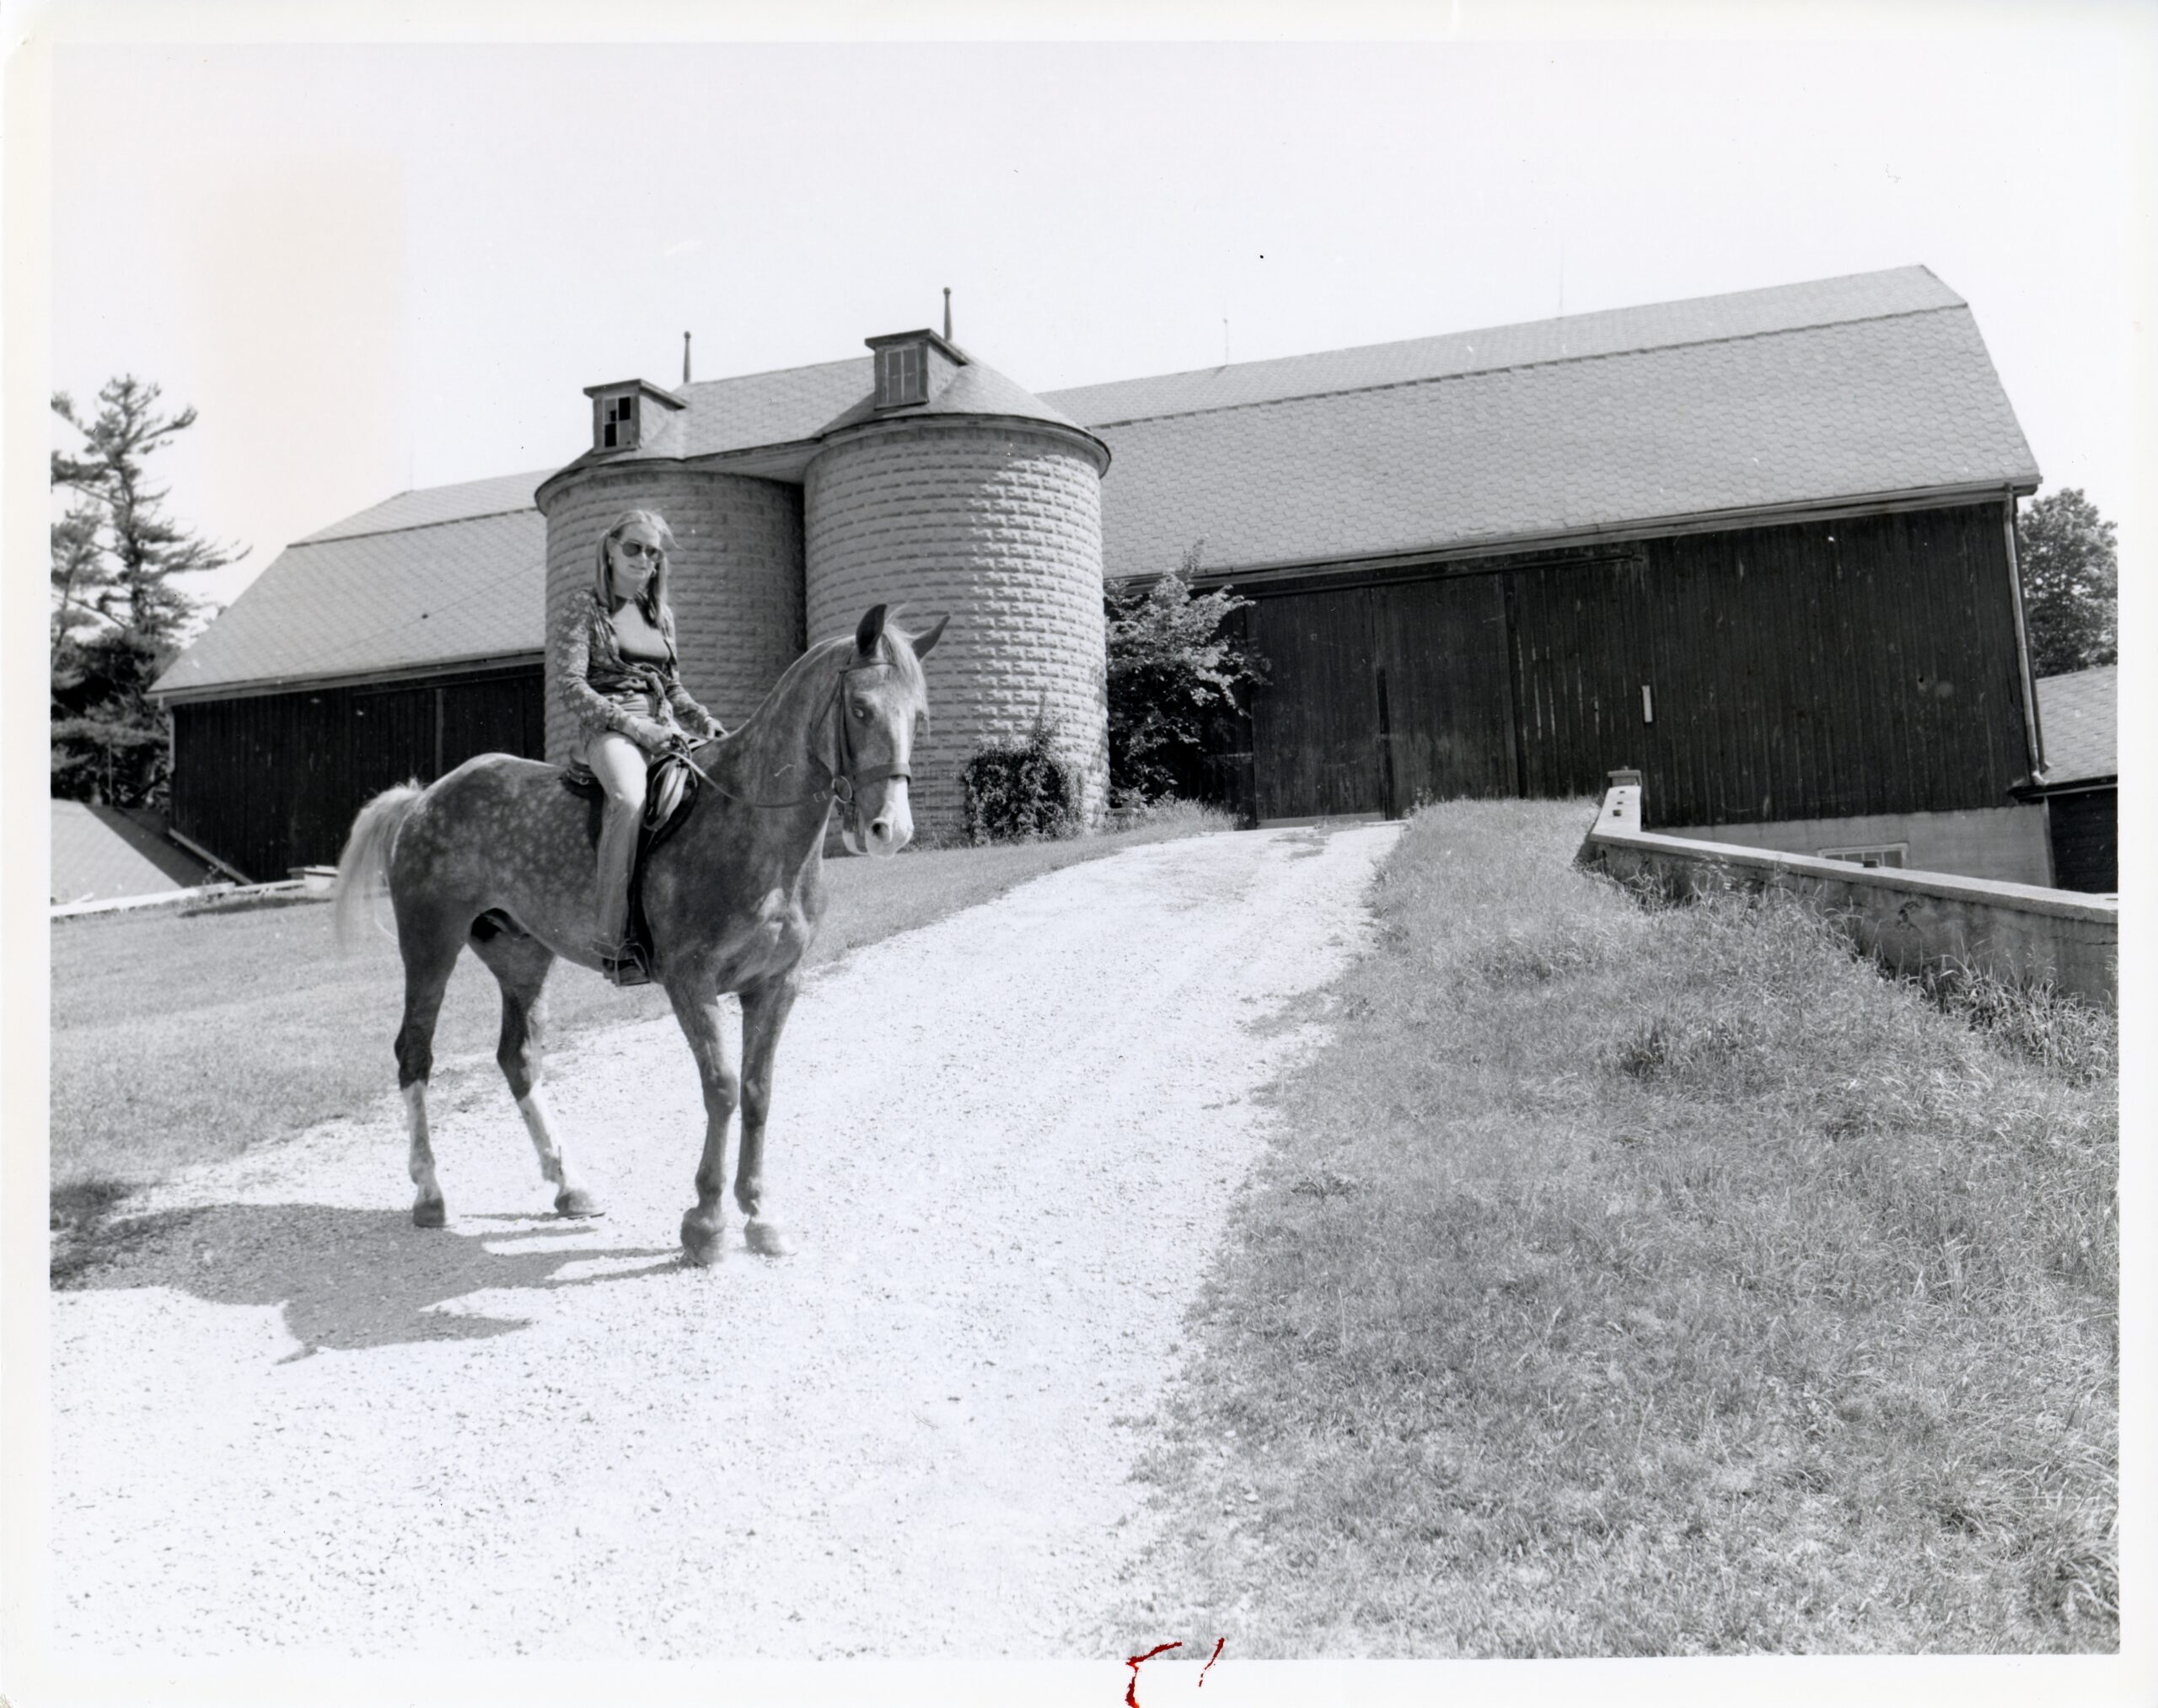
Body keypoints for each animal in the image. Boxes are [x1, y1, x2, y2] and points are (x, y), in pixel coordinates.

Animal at [332, 609, 941, 1260]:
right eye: (861, 709)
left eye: (919, 715)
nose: (890, 830)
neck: (752, 824)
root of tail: (425, 796)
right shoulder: (691, 981)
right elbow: (722, 1087)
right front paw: (705, 1222)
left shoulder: (777, 984)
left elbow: (758, 1091)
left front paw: (759, 1214)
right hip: (430, 945)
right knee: (414, 1053)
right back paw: (429, 1193)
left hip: (521, 956)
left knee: (517, 1057)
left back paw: (569, 1185)